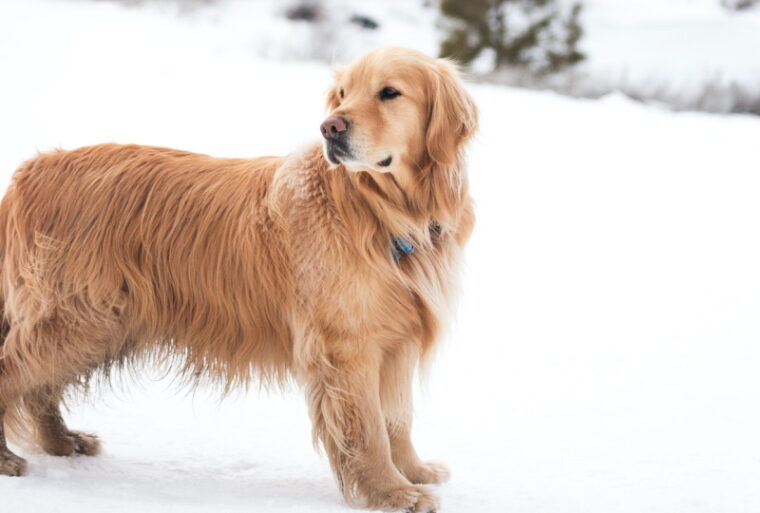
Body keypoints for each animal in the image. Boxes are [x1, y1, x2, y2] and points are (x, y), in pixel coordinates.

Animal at [0, 46, 476, 510]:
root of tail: (29, 172)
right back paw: (9, 458)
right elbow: (370, 429)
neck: (382, 211)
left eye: (389, 92)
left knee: (40, 390)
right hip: (80, 320)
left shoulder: (398, 340)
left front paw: (413, 471)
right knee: (15, 374)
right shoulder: (347, 346)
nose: (330, 128)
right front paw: (392, 493)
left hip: (101, 325)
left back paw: (62, 441)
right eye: (342, 94)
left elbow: (398, 420)